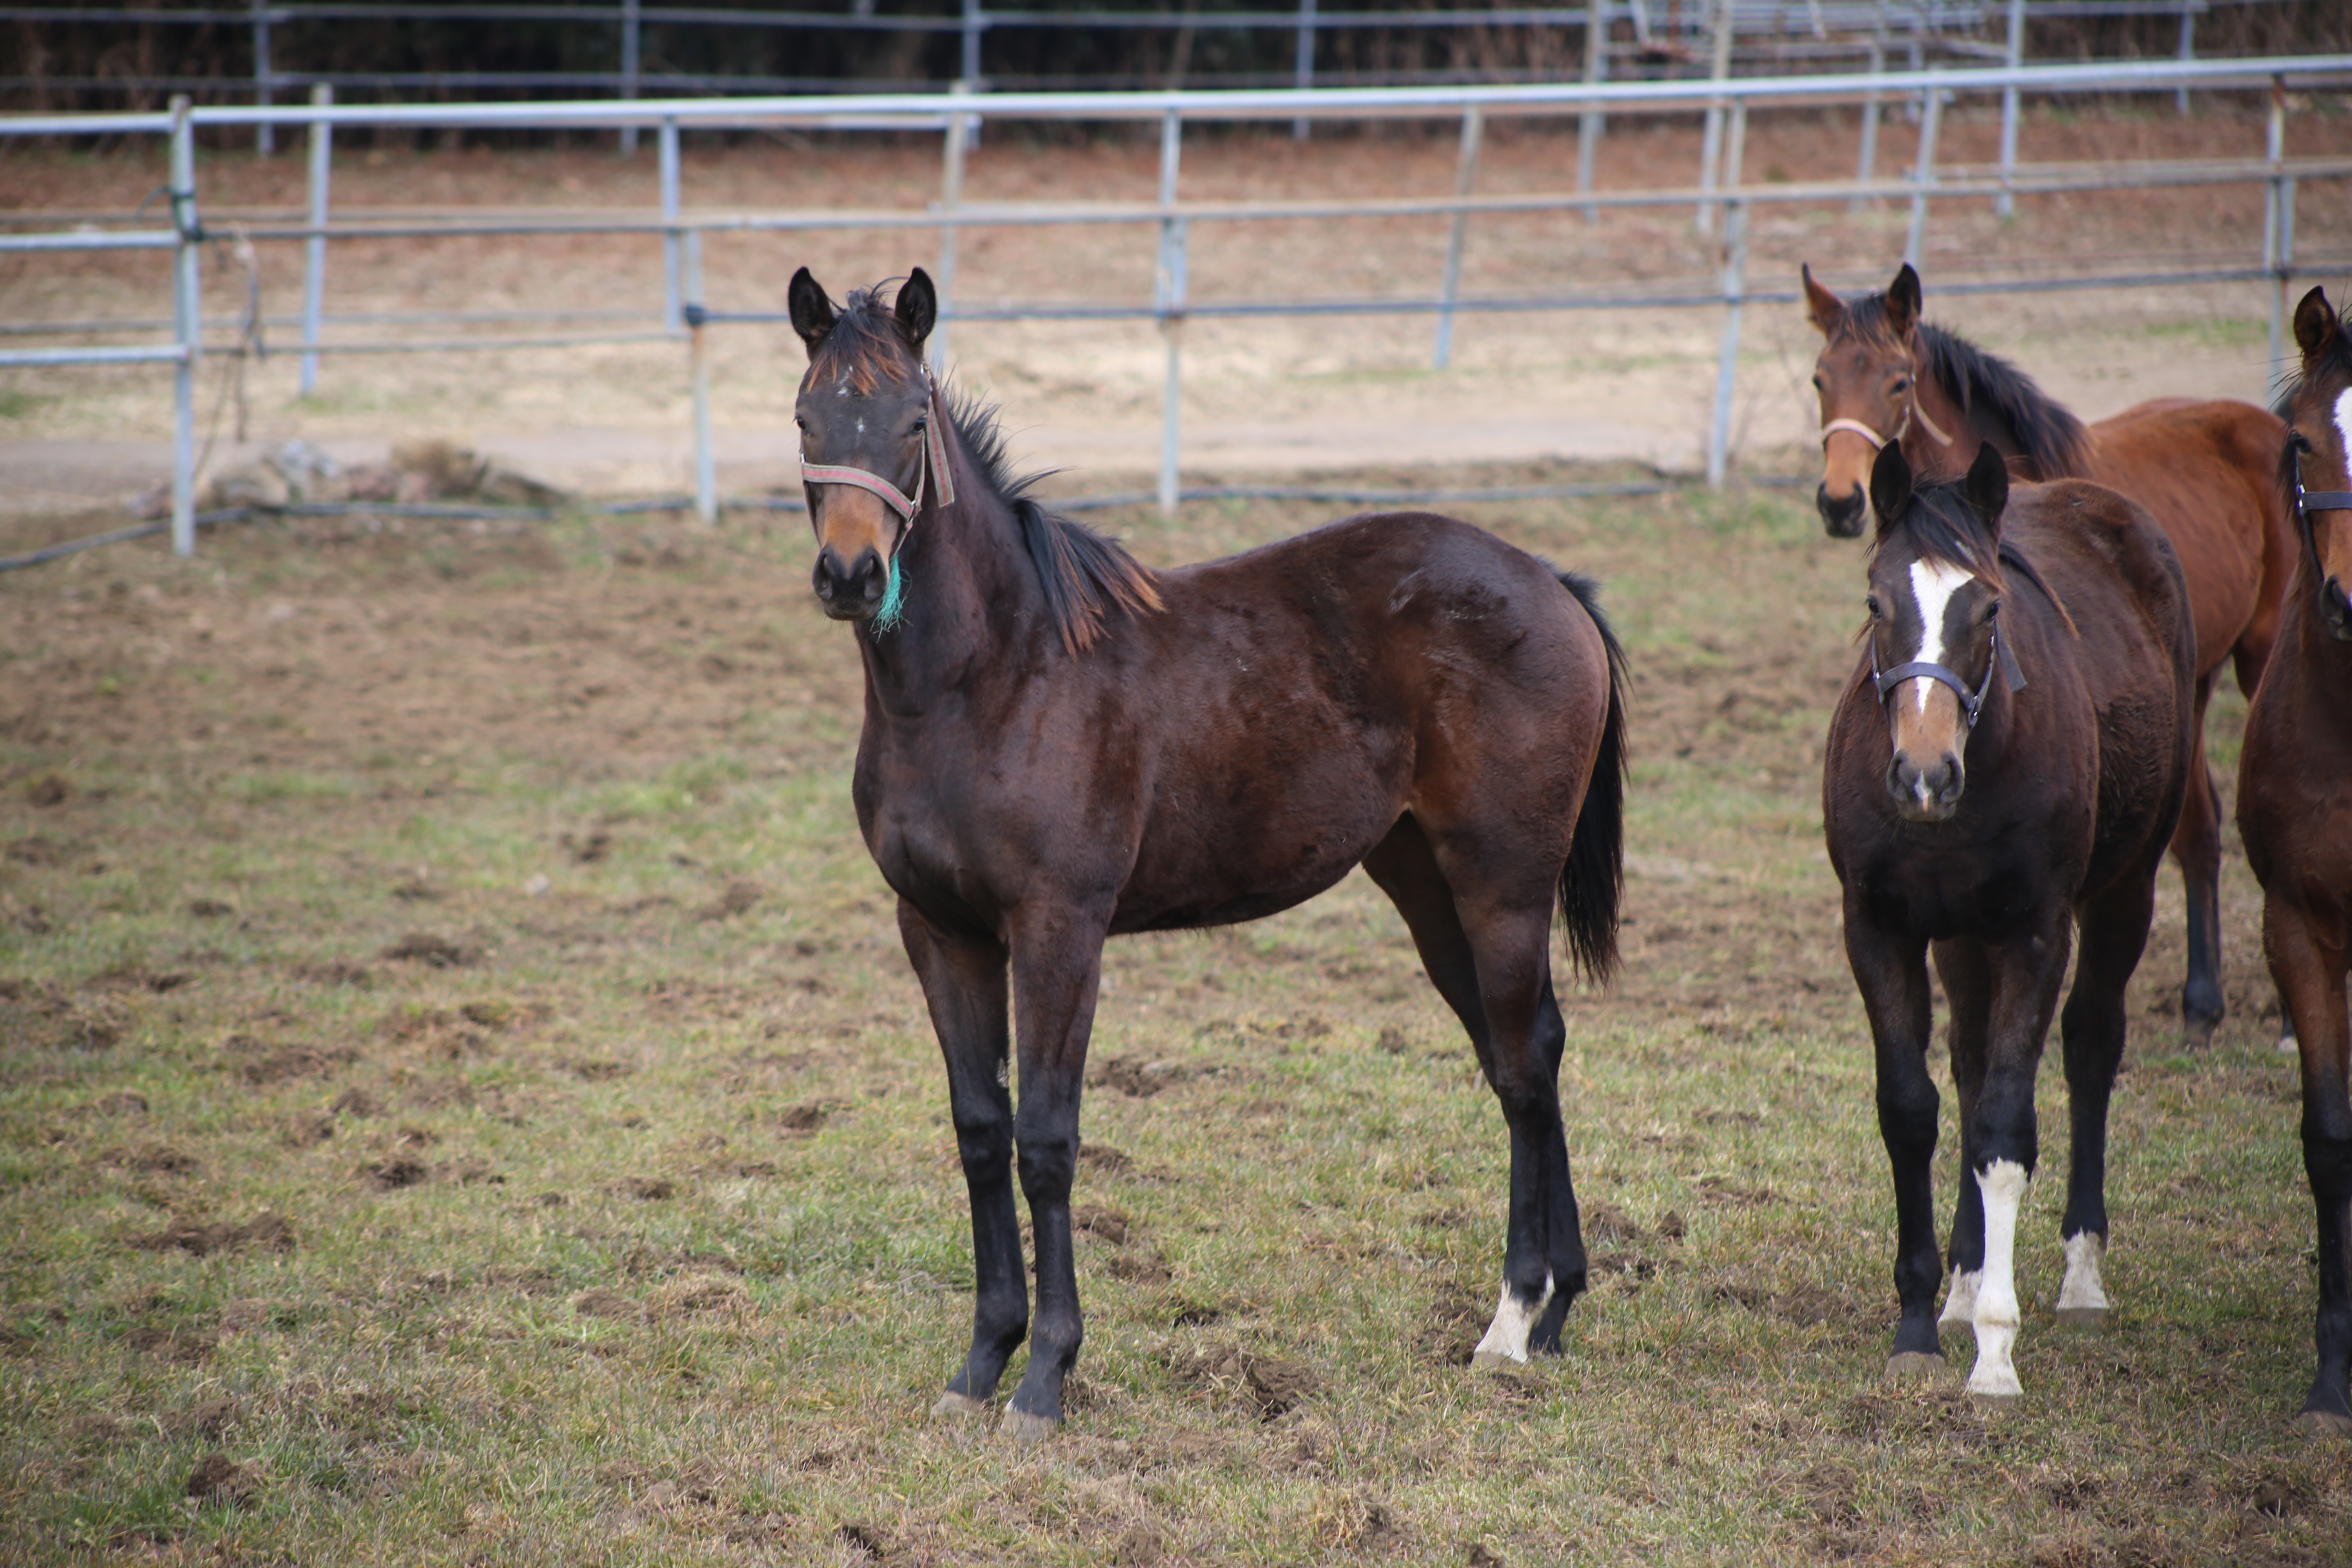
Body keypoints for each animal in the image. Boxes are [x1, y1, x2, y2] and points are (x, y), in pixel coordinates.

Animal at [781, 263, 1627, 1439]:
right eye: (806, 419)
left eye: (912, 422)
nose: (853, 575)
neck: (992, 676)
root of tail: (1550, 583)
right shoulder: (940, 932)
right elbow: (981, 1131)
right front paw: (981, 1363)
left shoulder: (1060, 930)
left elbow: (1047, 1139)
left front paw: (1045, 1378)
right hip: (1424, 885)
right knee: (1520, 1058)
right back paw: (1553, 1316)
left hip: (1500, 884)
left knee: (1527, 1056)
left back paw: (1512, 1322)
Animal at [1797, 265, 2295, 1048]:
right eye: (1821, 379)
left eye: (1898, 382)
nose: (1841, 501)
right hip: (2193, 688)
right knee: (2201, 828)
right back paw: (2201, 1001)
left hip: (2258, 656)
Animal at [1825, 439, 2192, 1401]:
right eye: (1875, 602)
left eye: (1988, 607)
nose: (1924, 775)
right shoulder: (1878, 928)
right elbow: (1913, 1110)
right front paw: (1923, 1320)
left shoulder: (2035, 934)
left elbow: (2002, 1126)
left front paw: (1995, 1349)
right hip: (1960, 935)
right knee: (1966, 1059)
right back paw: (1960, 1282)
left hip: (2126, 887)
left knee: (2091, 1044)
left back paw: (2079, 1276)